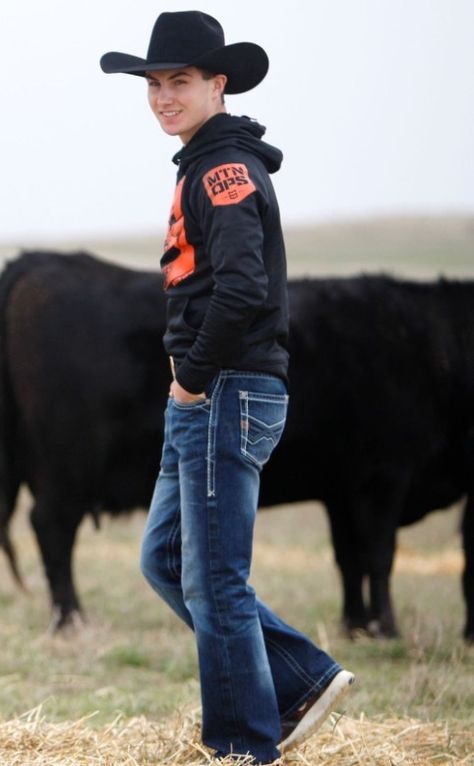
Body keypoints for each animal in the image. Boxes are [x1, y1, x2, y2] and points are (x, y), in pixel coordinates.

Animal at [0, 252, 472, 640]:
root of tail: (37, 261)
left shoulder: (341, 489)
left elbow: (348, 558)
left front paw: (354, 624)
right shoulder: (384, 476)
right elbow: (379, 554)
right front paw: (386, 628)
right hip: (68, 467)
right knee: (52, 528)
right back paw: (70, 620)